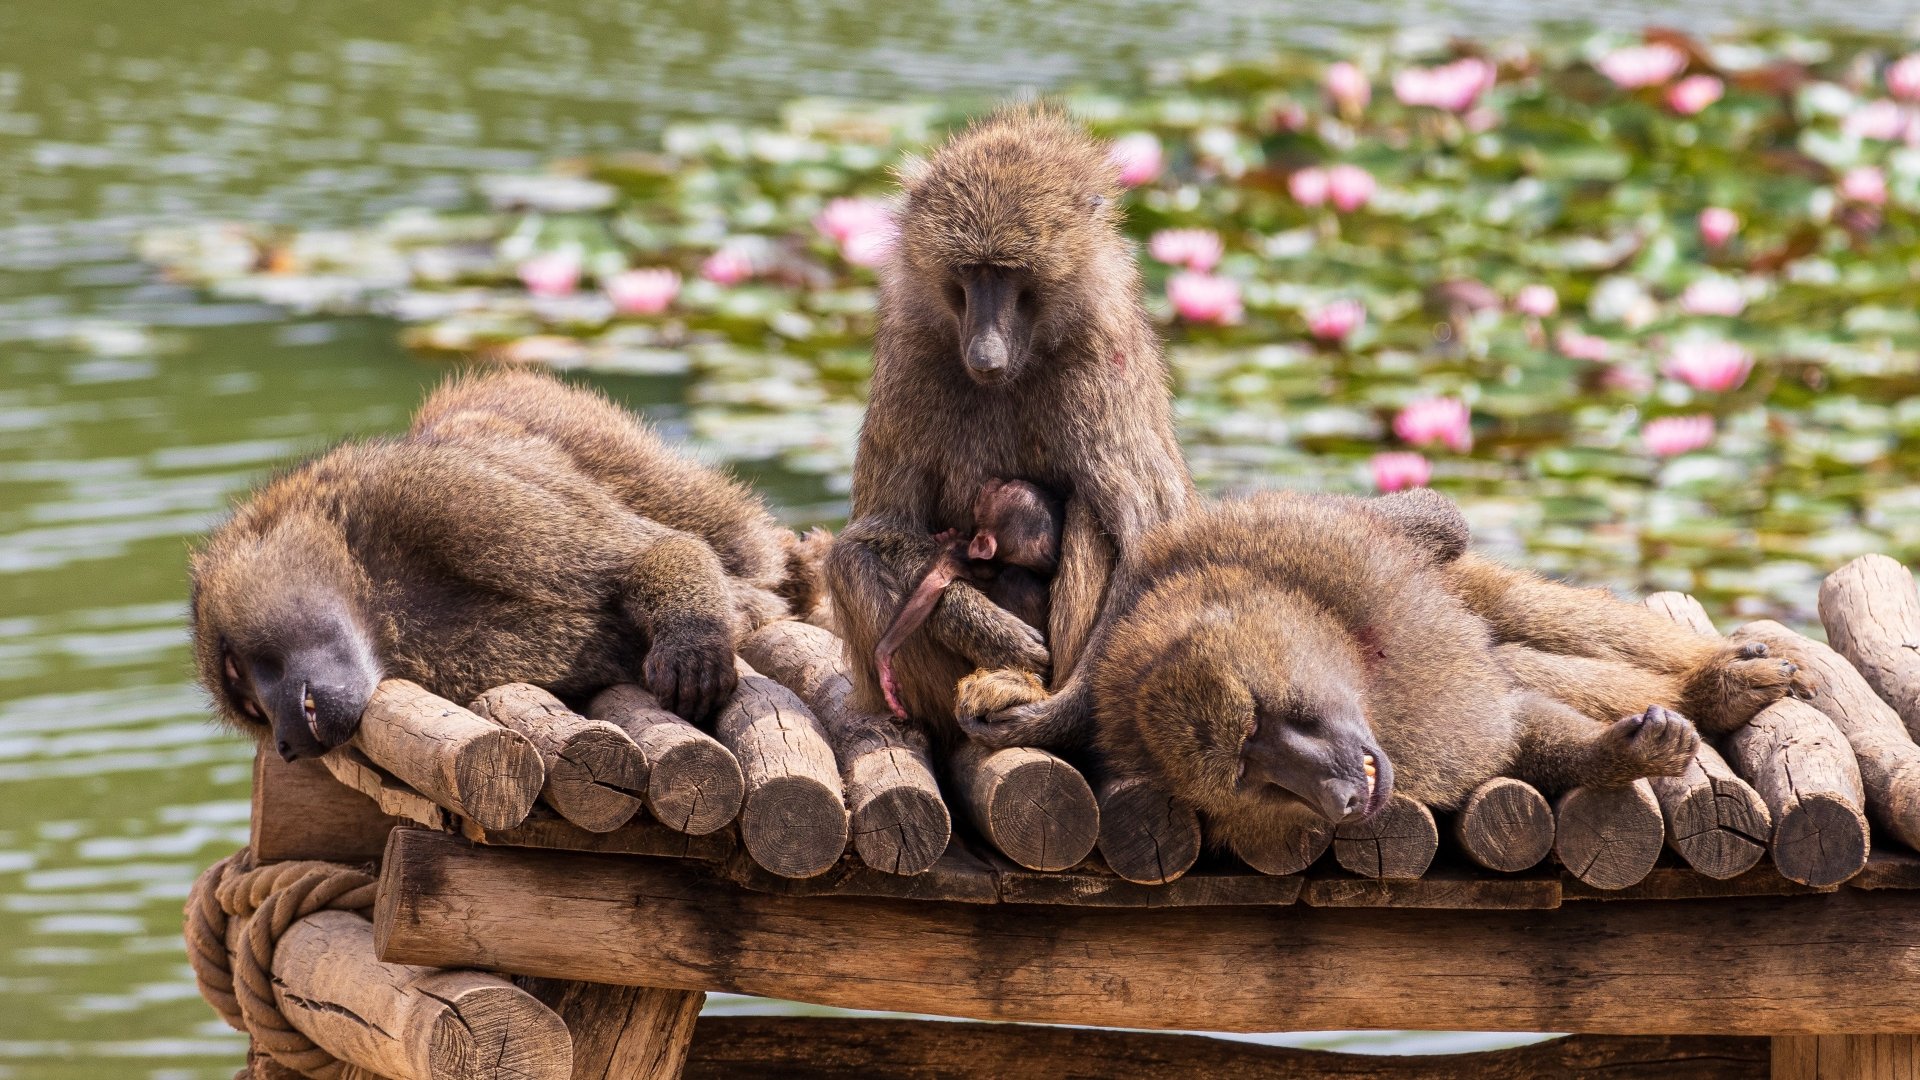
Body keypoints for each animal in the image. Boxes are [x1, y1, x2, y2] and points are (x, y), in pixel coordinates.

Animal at [190, 369, 794, 761]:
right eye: (251, 710)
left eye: (235, 669)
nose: (286, 746)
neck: (373, 592)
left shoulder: (431, 494)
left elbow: (651, 552)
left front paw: (692, 640)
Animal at [874, 479, 1064, 718]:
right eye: (1007, 485)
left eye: (999, 492)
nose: (997, 482)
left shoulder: (965, 555)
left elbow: (935, 581)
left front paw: (883, 659)